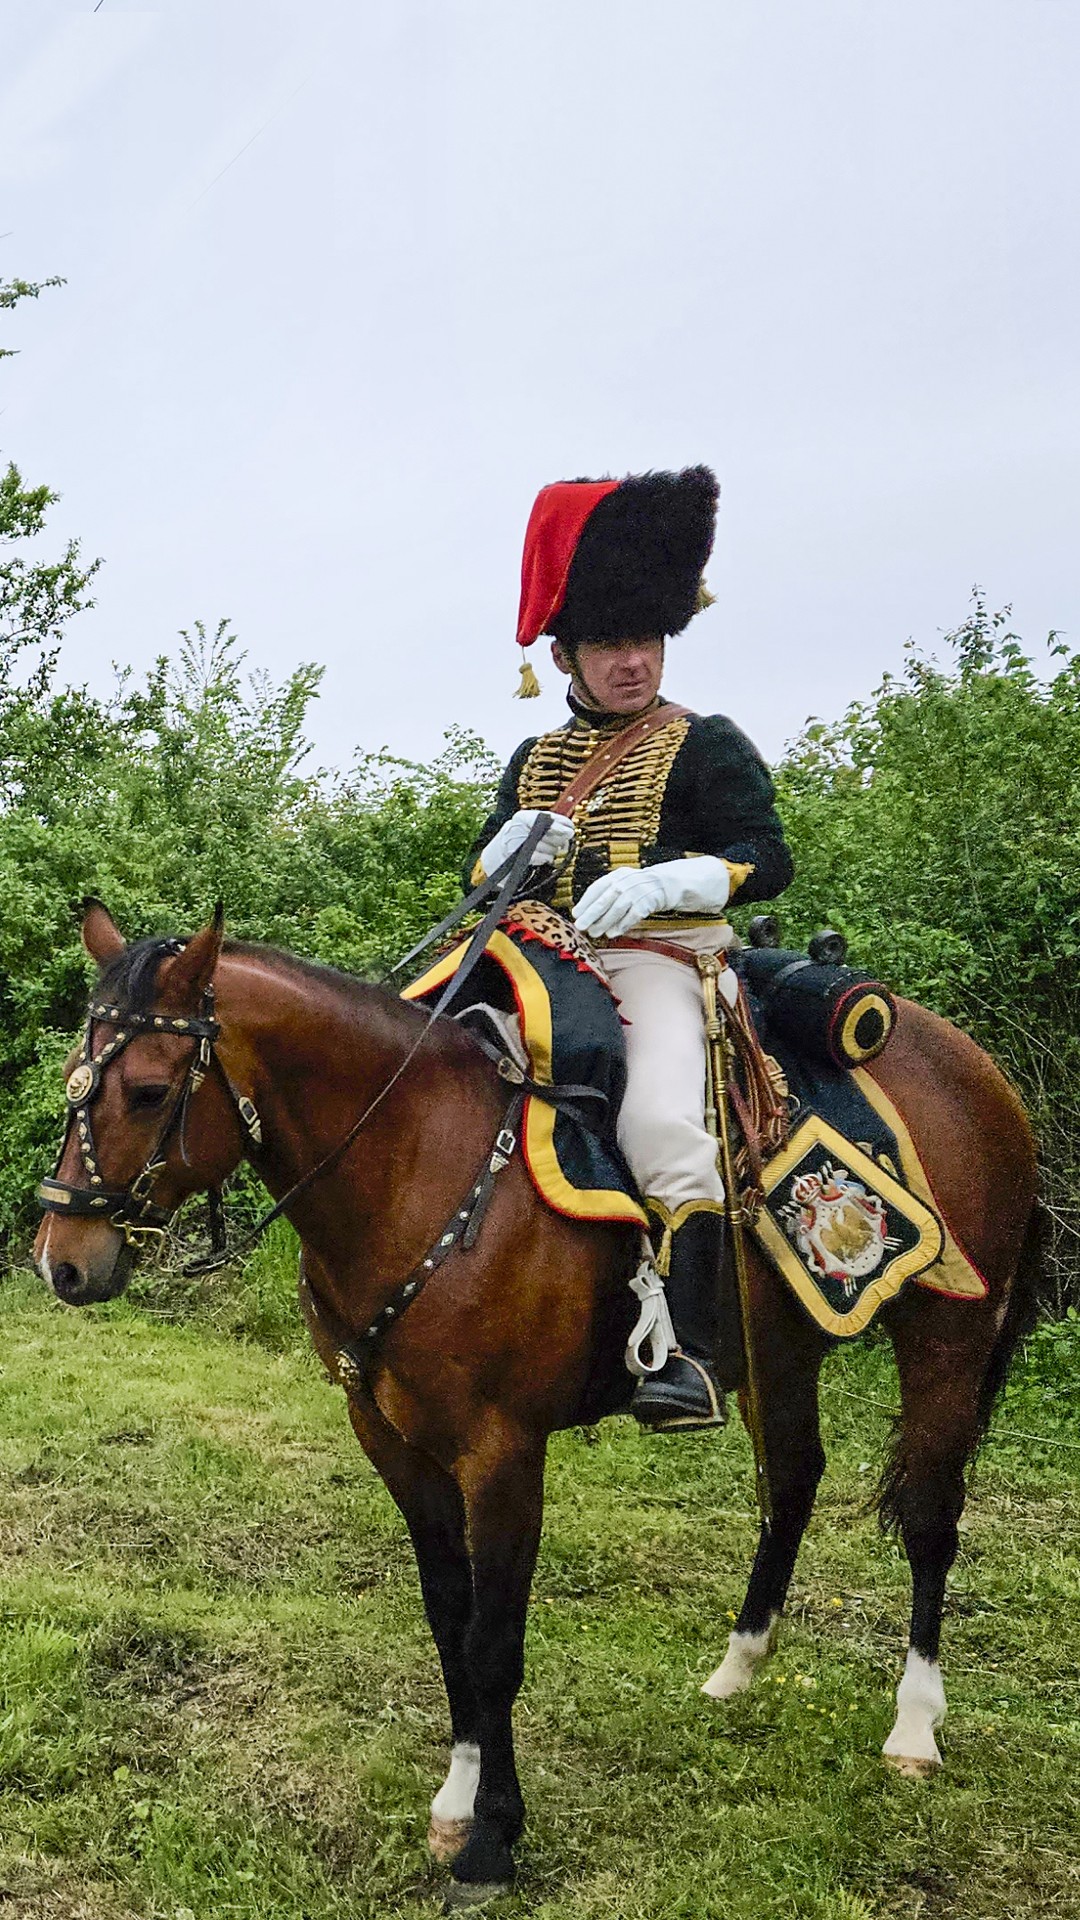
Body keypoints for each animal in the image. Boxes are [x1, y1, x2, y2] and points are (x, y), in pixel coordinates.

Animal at [37, 898, 1037, 1904]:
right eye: (77, 1079)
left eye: (150, 1091)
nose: (63, 1261)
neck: (419, 1164)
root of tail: (974, 1066)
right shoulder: (392, 1440)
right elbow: (450, 1619)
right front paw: (458, 1798)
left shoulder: (502, 1453)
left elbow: (495, 1641)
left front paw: (493, 1839)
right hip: (782, 1349)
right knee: (792, 1480)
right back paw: (739, 1665)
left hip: (945, 1333)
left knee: (930, 1514)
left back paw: (915, 1726)